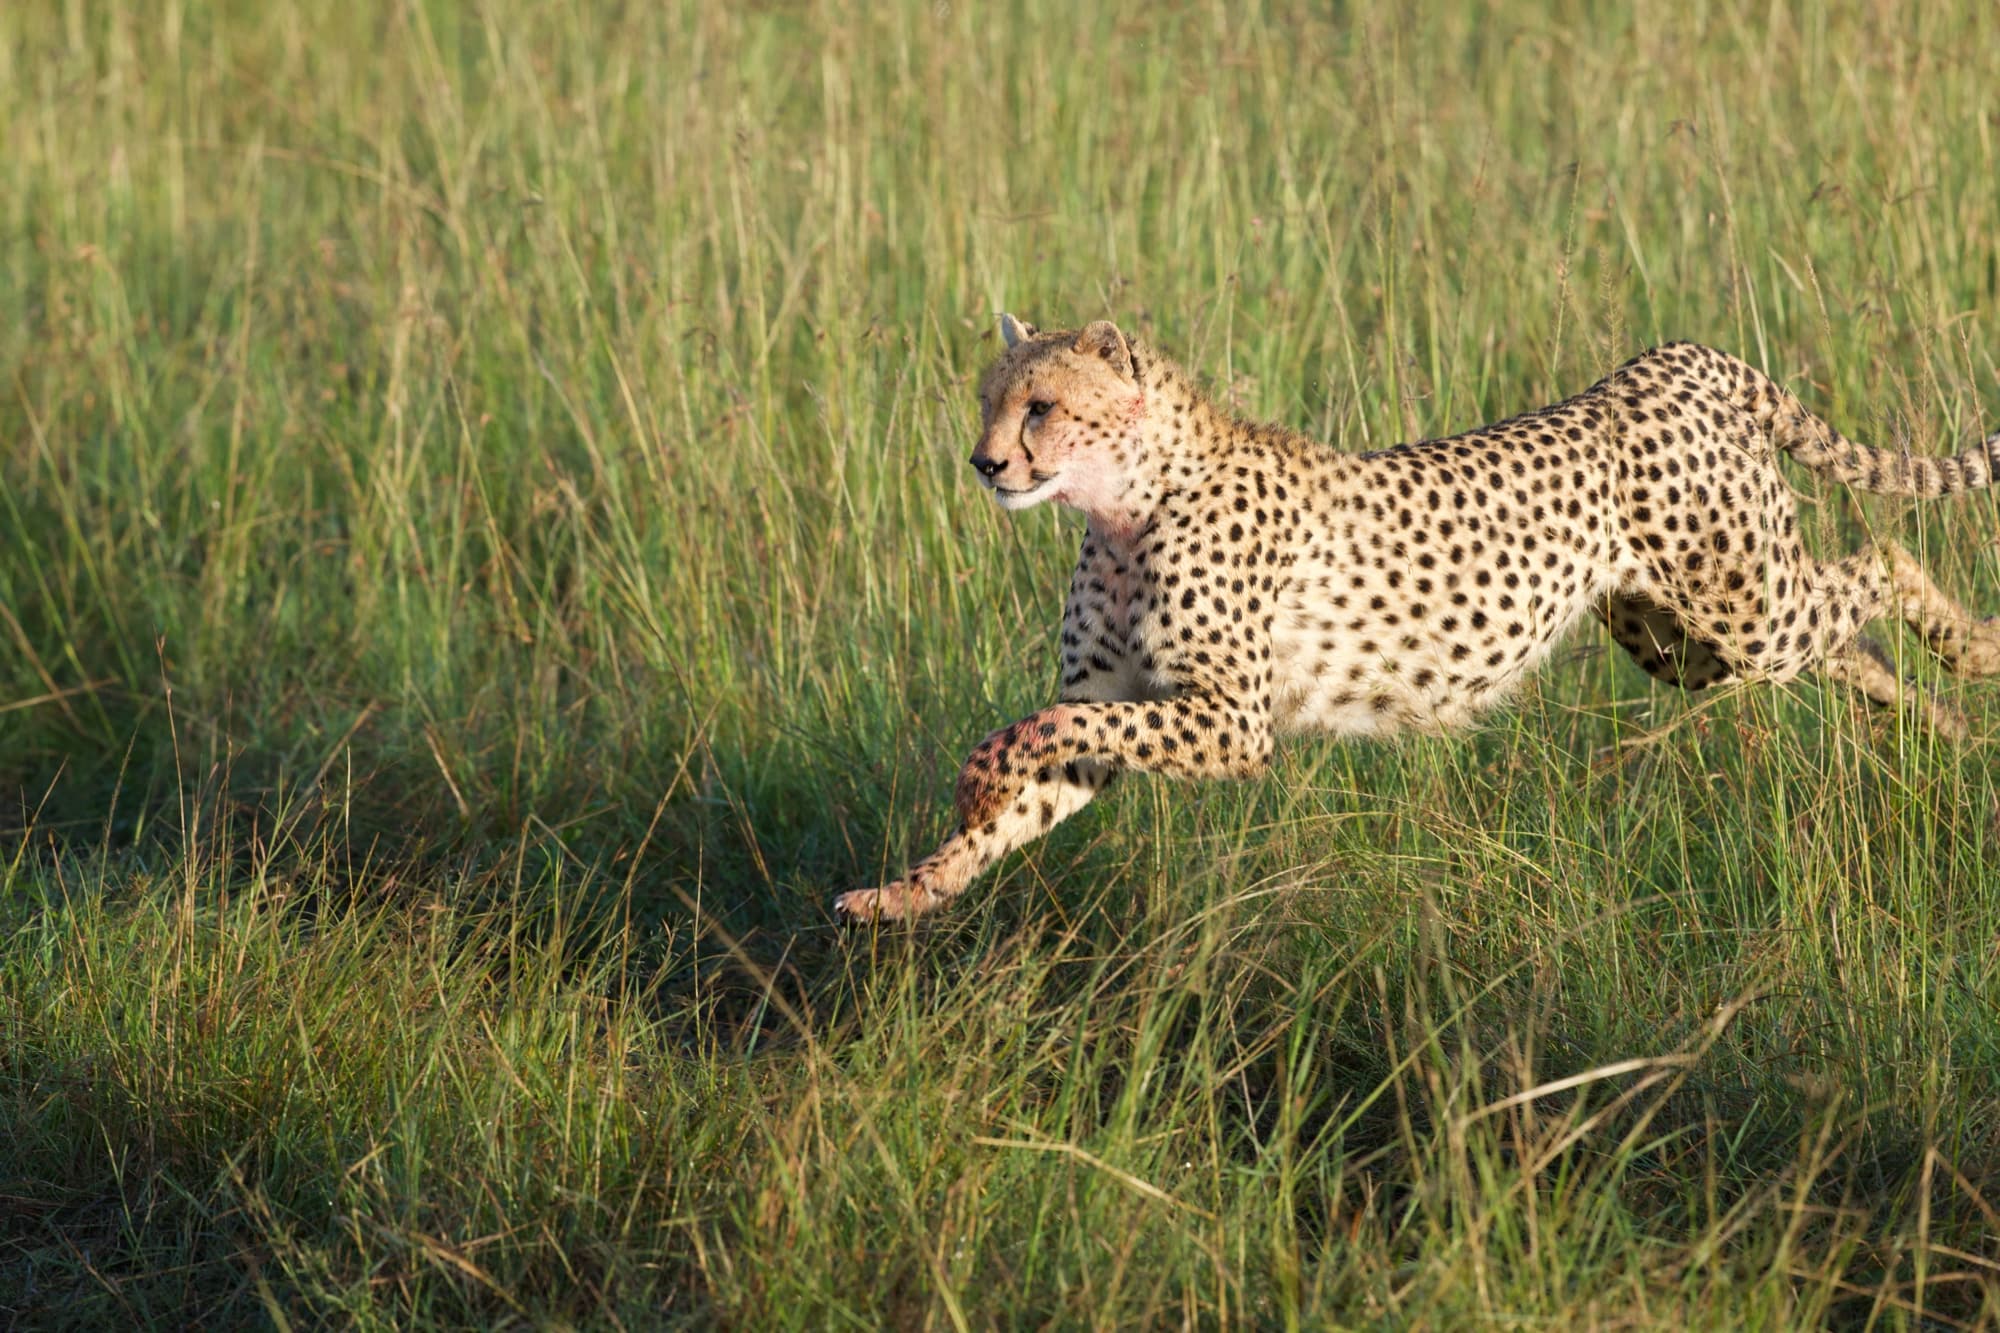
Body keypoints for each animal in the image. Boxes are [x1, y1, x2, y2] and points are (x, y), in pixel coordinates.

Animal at [834, 314, 2000, 921]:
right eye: (988, 400)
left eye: (1039, 407)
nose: (984, 463)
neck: (1123, 502)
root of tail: (1664, 360)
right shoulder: (1136, 718)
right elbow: (1046, 770)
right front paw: (906, 892)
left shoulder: (1230, 724)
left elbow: (1037, 727)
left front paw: (976, 778)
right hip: (1687, 641)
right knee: (1842, 644)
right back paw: (1941, 725)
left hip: (1742, 604)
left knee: (1886, 559)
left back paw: (1974, 653)